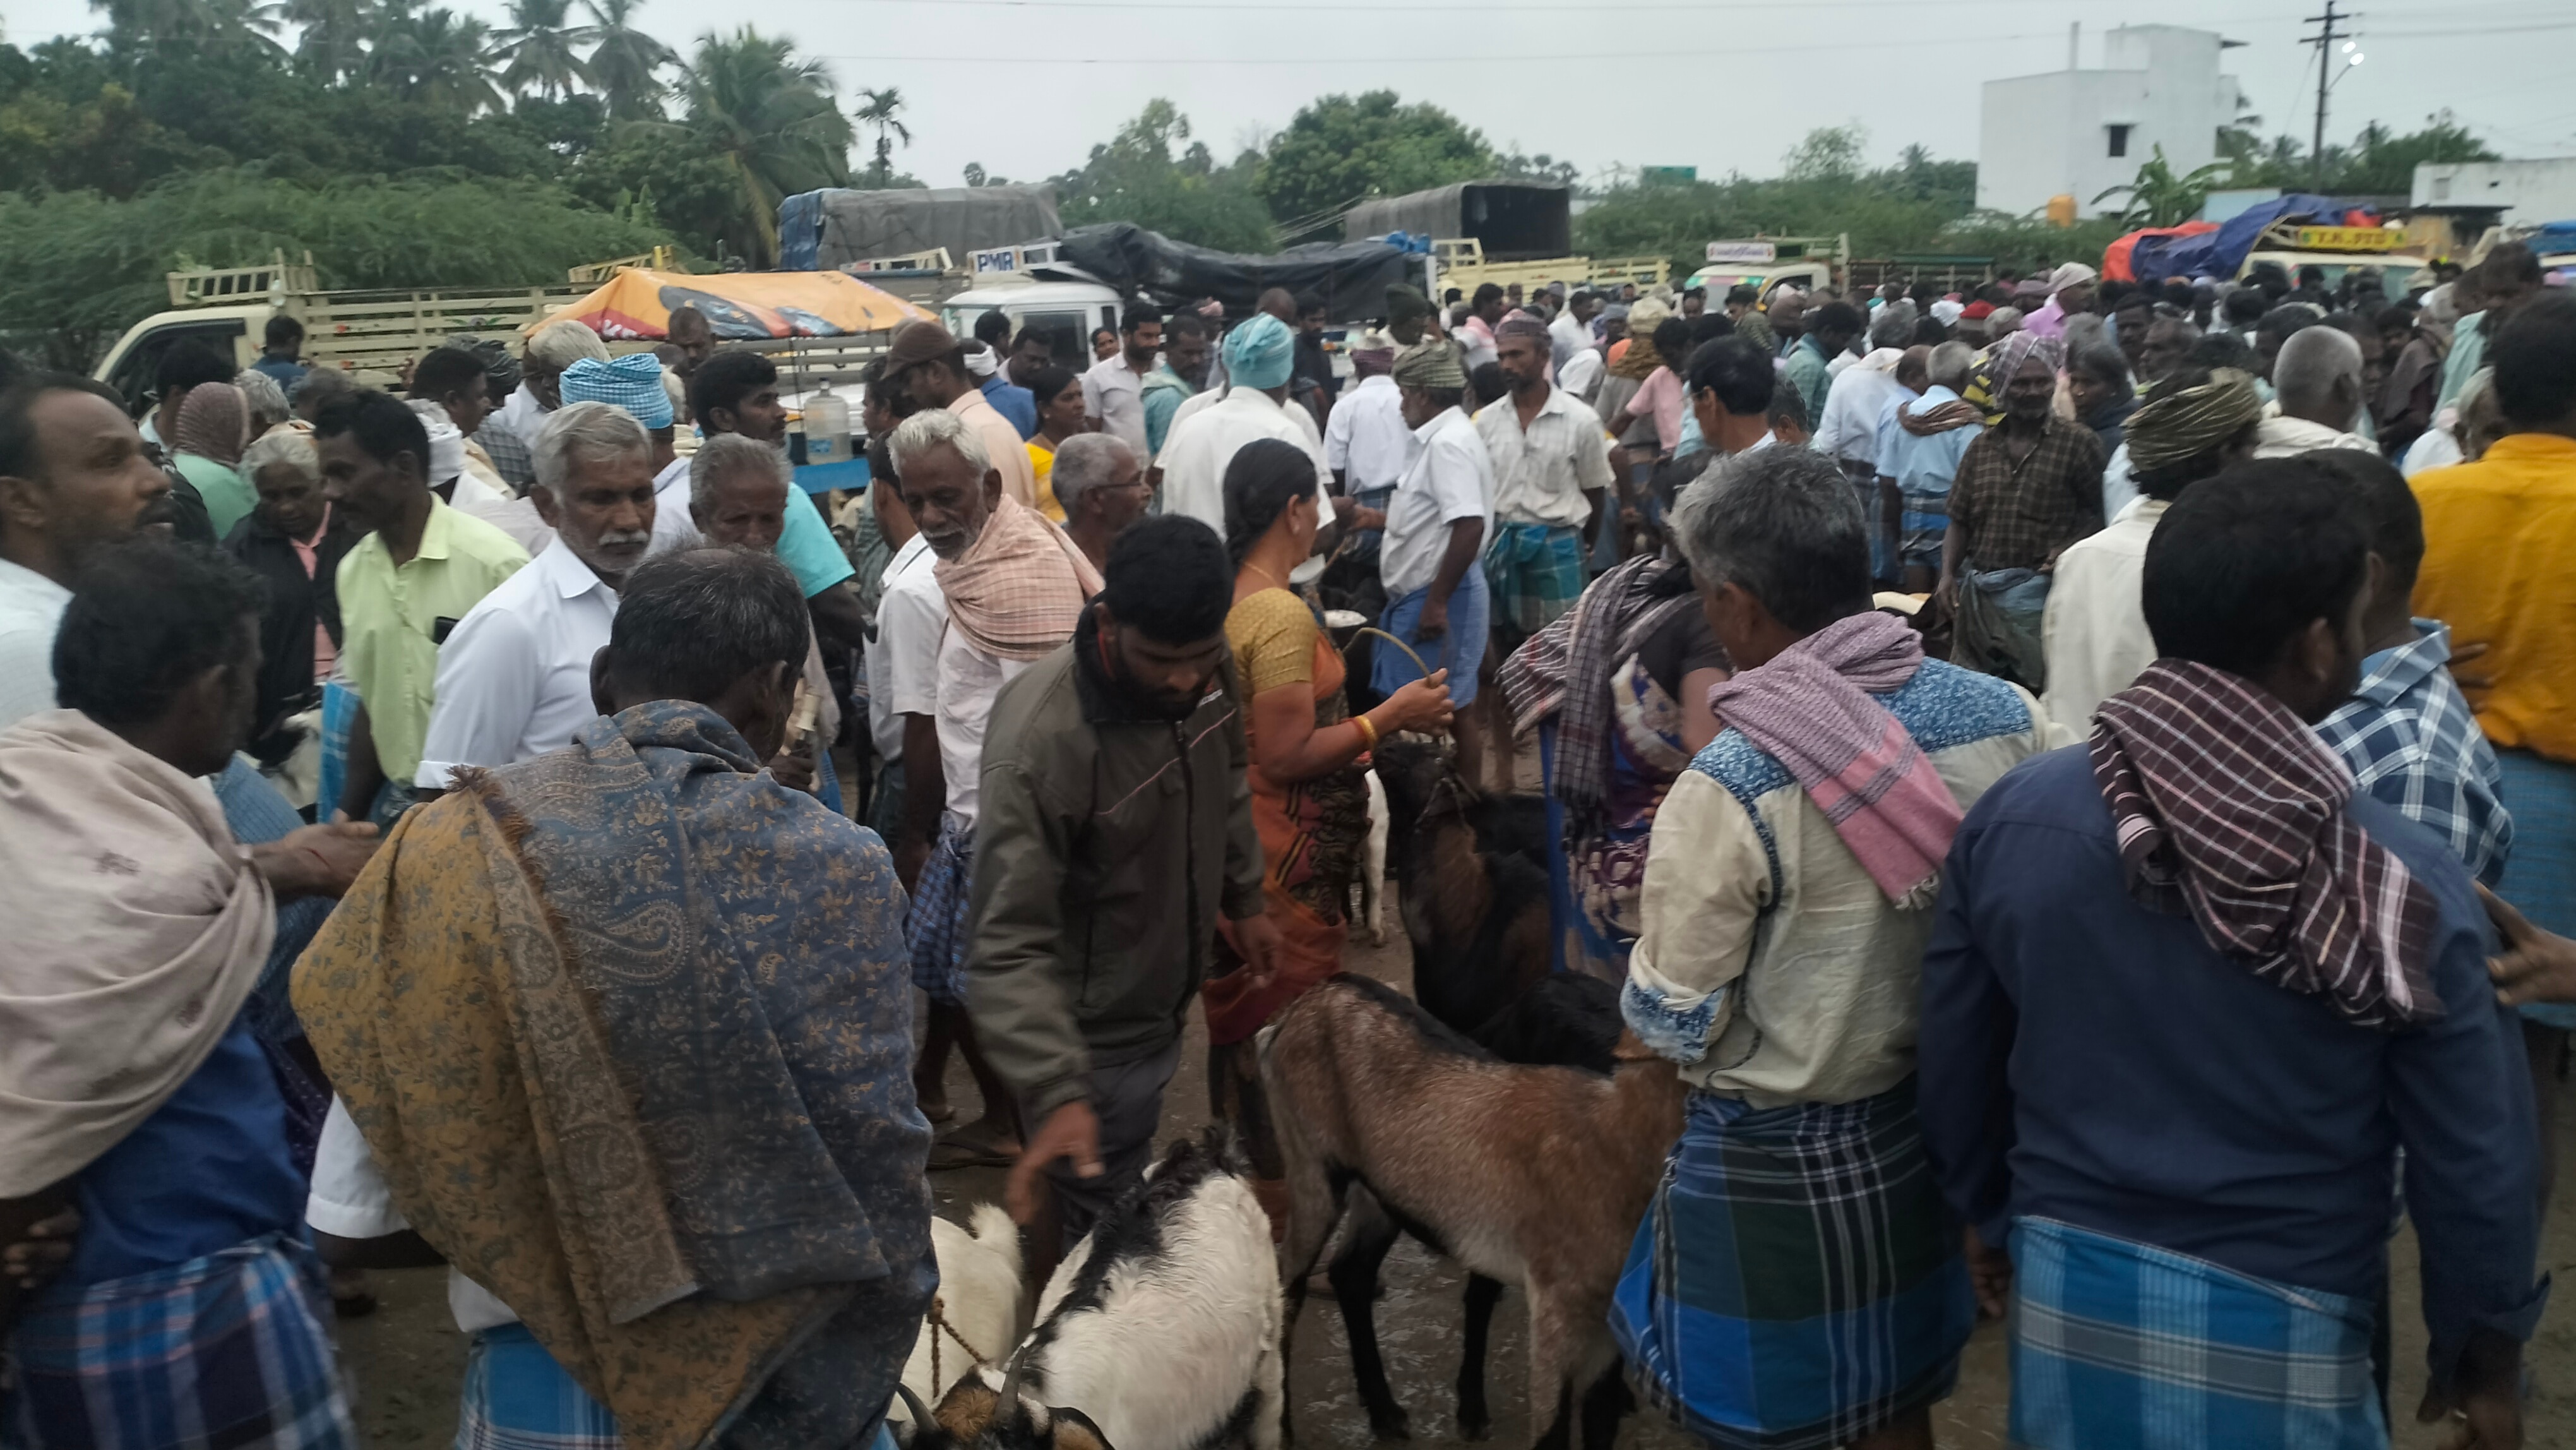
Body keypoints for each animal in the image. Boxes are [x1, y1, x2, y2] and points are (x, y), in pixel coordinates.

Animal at [1251, 973, 1690, 1450]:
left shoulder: (1605, 1324)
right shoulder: (1556, 1311)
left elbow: (1602, 1420)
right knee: (1287, 1286)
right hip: (1311, 1170)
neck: (1616, 1139)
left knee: (1351, 1274)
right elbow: (1553, 1433)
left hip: (1381, 1194)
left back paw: (1385, 1412)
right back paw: (1285, 1430)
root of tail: (1297, 1011)